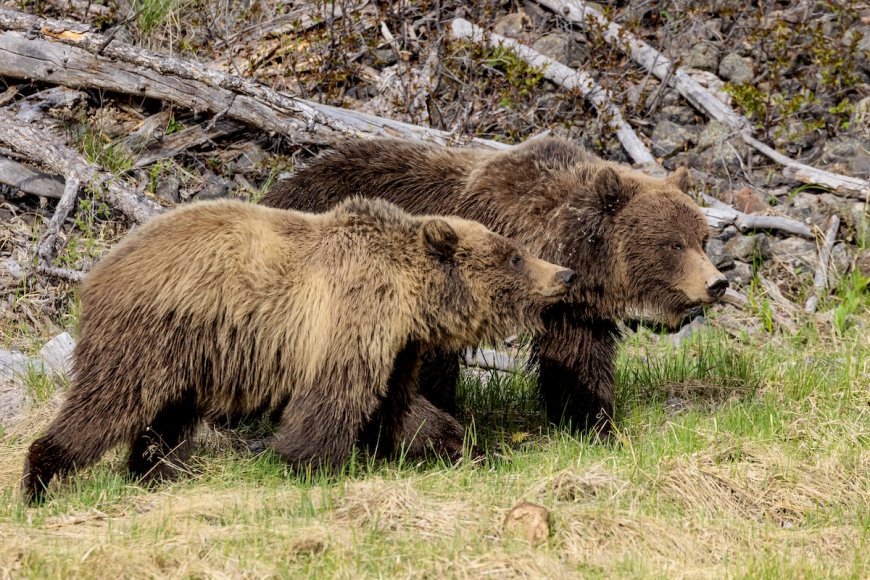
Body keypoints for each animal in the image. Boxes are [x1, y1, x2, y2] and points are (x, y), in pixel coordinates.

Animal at [22, 197, 574, 504]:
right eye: (514, 255)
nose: (564, 273)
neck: (409, 298)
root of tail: (96, 271)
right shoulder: (348, 322)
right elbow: (333, 400)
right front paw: (309, 463)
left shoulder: (397, 348)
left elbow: (400, 408)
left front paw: (471, 447)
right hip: (148, 334)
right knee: (108, 404)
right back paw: (41, 477)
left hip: (189, 353)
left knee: (168, 418)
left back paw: (155, 471)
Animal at [261, 137, 728, 433]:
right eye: (673, 244)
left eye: (703, 238)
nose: (717, 283)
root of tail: (280, 188)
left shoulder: (572, 308)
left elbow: (578, 359)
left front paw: (591, 421)